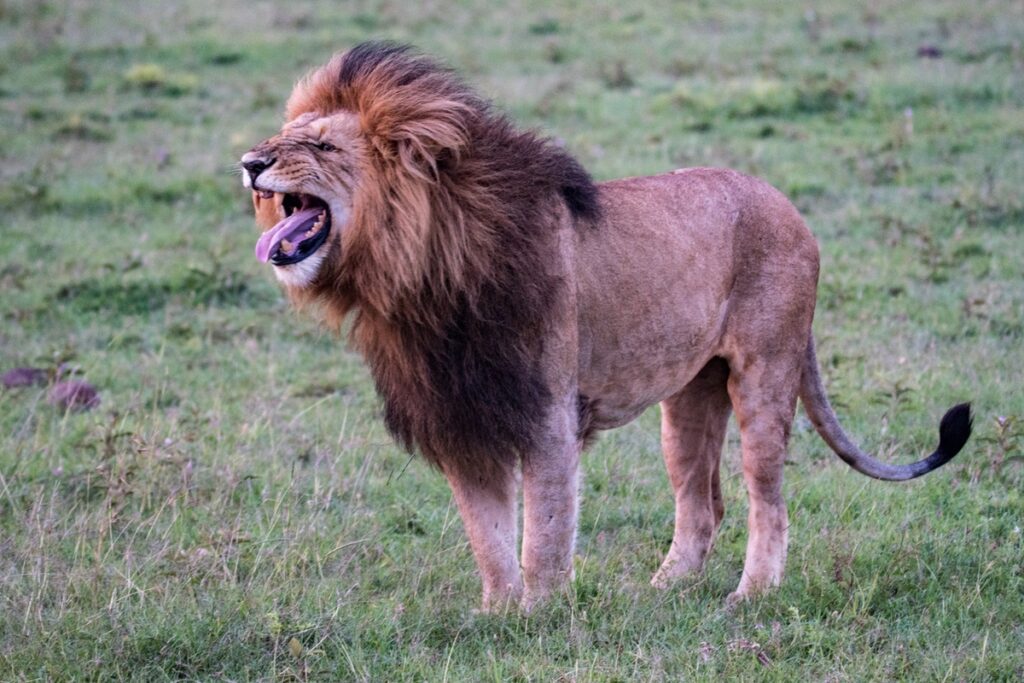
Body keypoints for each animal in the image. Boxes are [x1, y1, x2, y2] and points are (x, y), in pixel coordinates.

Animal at [240, 42, 972, 610]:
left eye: (322, 144)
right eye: (286, 136)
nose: (250, 163)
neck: (415, 277)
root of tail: (792, 209)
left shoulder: (546, 414)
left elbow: (544, 532)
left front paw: (541, 616)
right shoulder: (462, 417)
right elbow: (488, 535)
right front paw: (496, 615)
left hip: (765, 373)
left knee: (768, 498)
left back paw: (750, 595)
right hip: (689, 399)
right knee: (702, 505)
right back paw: (662, 591)